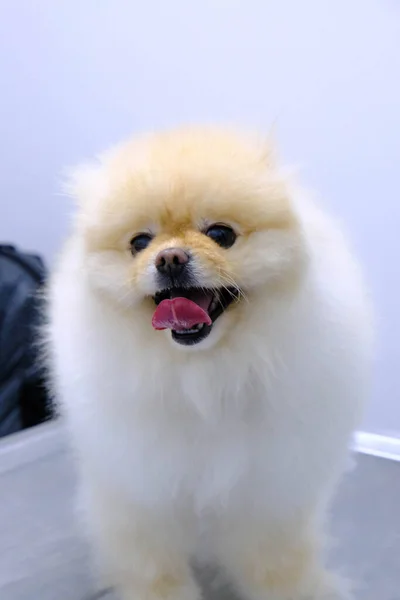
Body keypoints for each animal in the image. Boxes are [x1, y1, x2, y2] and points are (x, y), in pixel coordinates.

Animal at [46, 127, 372, 600]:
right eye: (139, 243)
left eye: (221, 233)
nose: (169, 258)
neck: (205, 378)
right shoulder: (141, 490)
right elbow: (154, 569)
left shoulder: (270, 489)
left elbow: (277, 565)